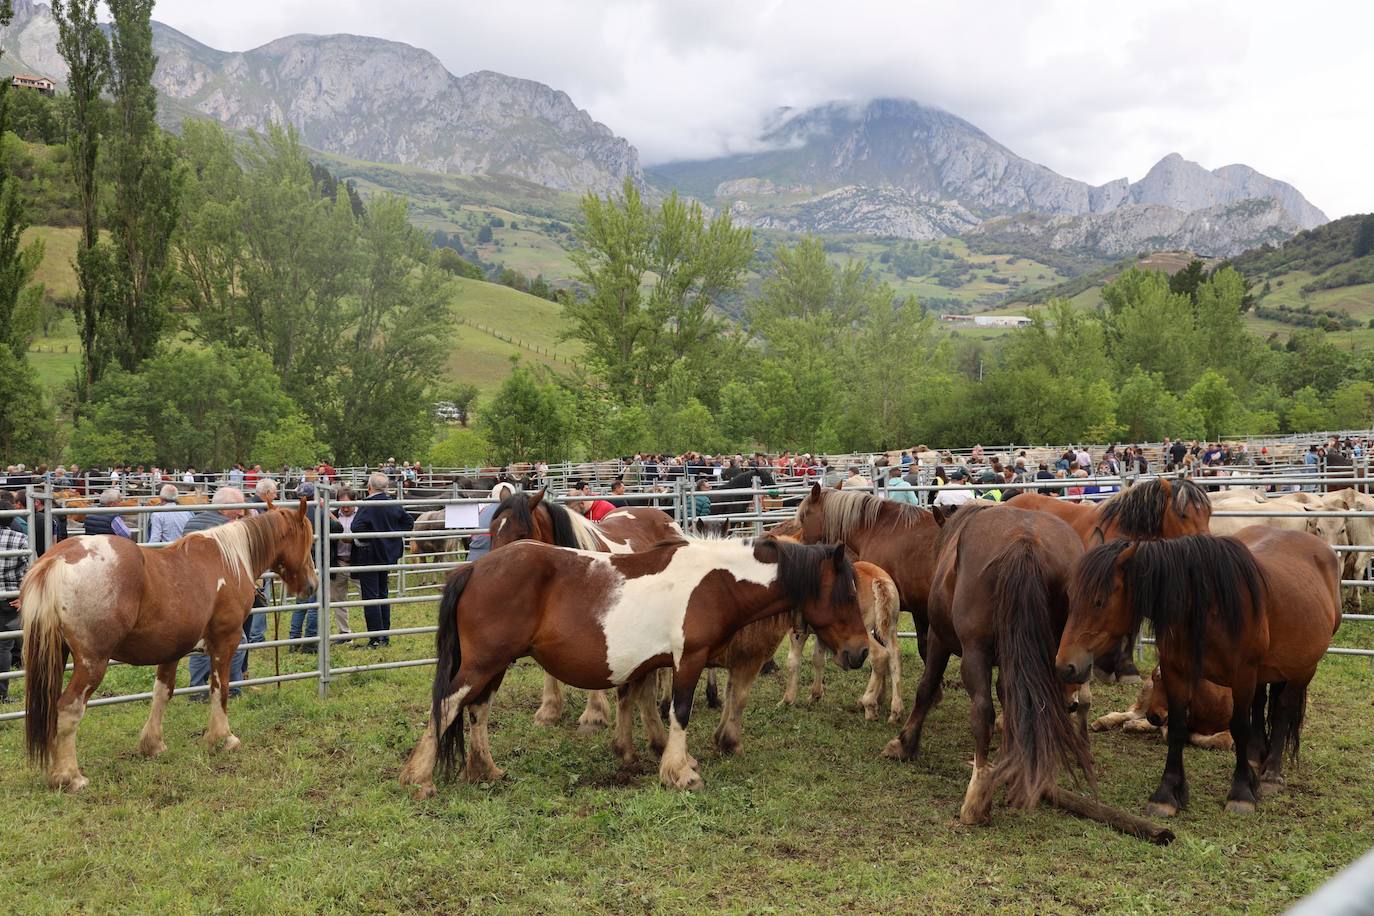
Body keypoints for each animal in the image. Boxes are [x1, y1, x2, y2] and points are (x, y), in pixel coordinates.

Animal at [24, 497, 316, 791]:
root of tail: (58, 559)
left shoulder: (171, 650)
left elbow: (161, 693)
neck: (229, 560)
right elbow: (219, 688)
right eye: (308, 538)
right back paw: (70, 776)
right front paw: (223, 738)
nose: (312, 585)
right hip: (92, 662)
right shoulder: (226, 641)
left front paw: (152, 744)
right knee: (68, 709)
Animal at [401, 532, 868, 796]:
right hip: (482, 664)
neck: (716, 582)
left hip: (494, 665)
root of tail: (474, 568)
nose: (861, 652)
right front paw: (680, 774)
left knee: (477, 712)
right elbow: (680, 712)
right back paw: (419, 778)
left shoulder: (653, 663)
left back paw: (484, 771)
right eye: (847, 594)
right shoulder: (688, 659)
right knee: (447, 705)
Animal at [879, 505, 1093, 829]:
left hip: (974, 653)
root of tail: (1025, 540)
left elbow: (926, 687)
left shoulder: (940, 639)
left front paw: (905, 743)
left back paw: (977, 797)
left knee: (982, 712)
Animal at [1060, 527, 1341, 818]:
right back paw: (1255, 756)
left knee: (1284, 709)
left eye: (1099, 601)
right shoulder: (1176, 671)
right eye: (1069, 595)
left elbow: (1239, 727)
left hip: (1303, 669)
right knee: (1261, 703)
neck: (1207, 606)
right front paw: (1167, 794)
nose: (1066, 665)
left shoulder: (1242, 675)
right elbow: (1177, 728)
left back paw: (1271, 773)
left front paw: (1241, 793)